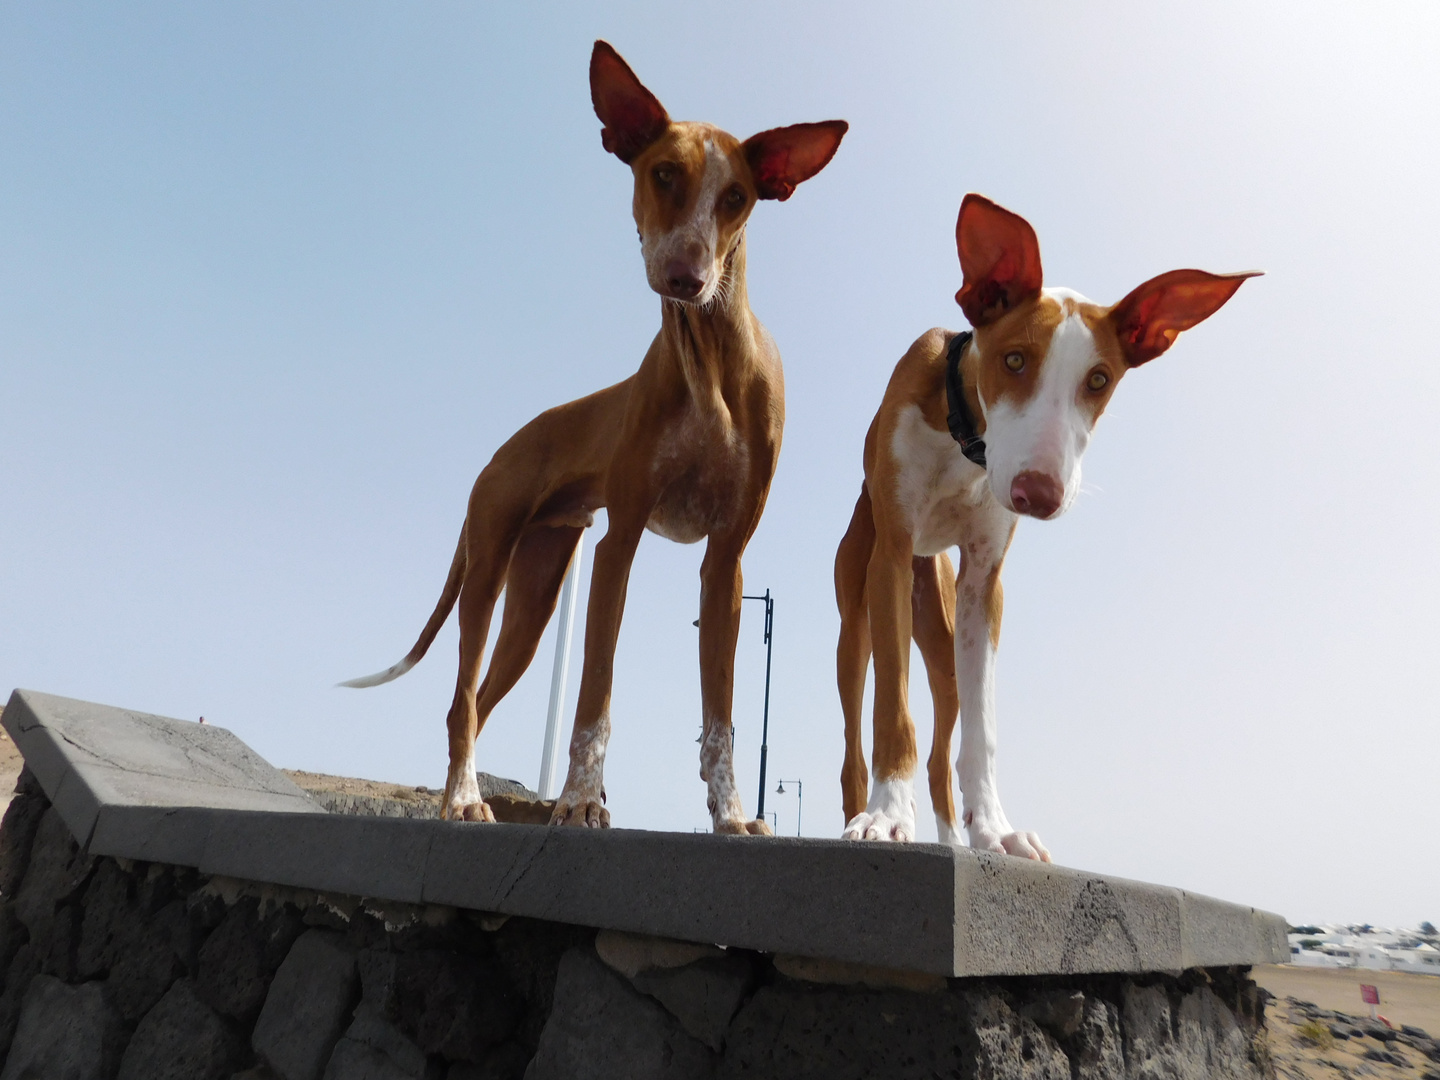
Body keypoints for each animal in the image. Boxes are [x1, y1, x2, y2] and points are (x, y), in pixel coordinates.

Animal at [344, 38, 846, 835]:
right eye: (662, 173)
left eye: (736, 197)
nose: (686, 275)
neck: (709, 363)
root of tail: (505, 445)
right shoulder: (619, 543)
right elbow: (594, 696)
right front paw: (580, 799)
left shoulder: (726, 563)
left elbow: (722, 715)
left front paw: (732, 813)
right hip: (489, 574)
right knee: (461, 698)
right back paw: (465, 798)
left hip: (536, 599)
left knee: (476, 703)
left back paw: (462, 796)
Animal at [840, 192, 1255, 852]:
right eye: (1013, 359)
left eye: (1099, 380)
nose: (1038, 493)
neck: (964, 438)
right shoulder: (893, 558)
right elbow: (893, 712)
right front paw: (885, 816)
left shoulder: (984, 586)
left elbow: (981, 732)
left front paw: (995, 829)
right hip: (858, 618)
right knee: (855, 740)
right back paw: (867, 809)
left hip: (942, 628)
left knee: (942, 746)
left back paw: (951, 837)